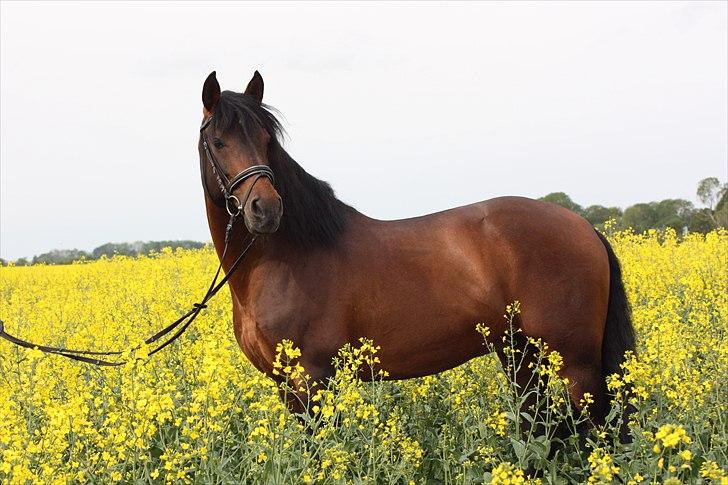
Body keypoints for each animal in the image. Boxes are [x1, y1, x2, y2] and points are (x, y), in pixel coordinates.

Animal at [196, 70, 636, 430]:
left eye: (267, 140)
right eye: (217, 142)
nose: (265, 210)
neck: (286, 258)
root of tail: (583, 226)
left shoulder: (311, 379)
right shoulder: (287, 385)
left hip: (575, 365)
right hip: (523, 357)